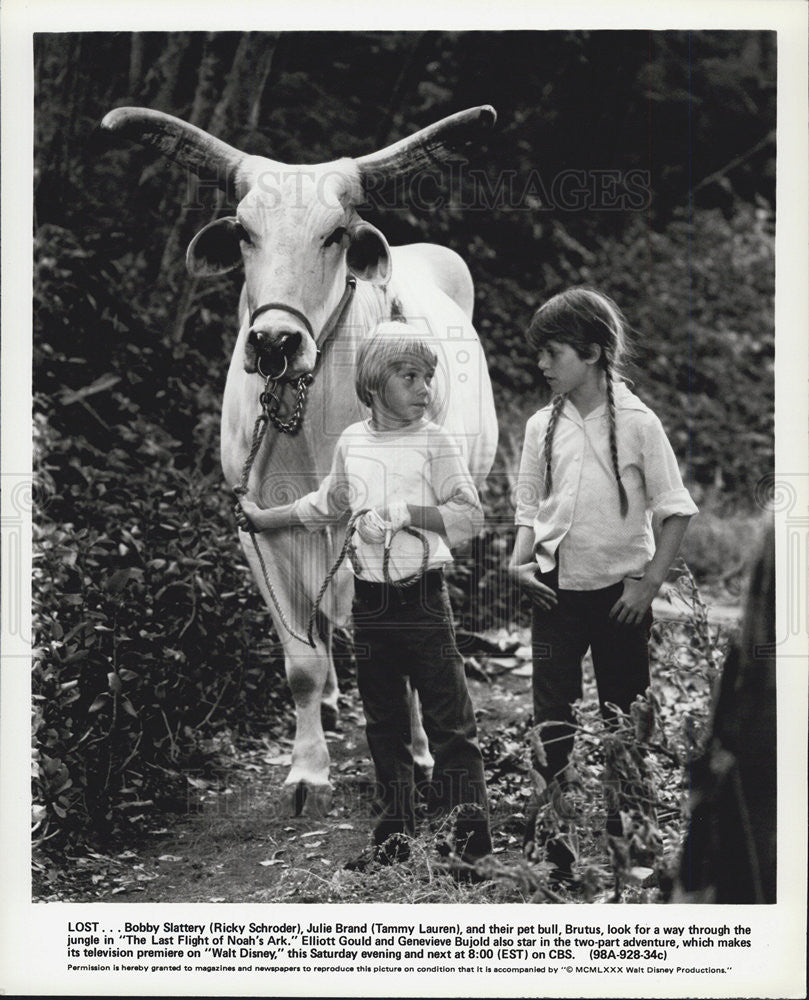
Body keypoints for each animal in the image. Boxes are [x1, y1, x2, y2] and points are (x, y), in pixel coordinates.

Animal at [98, 107, 496, 812]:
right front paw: (308, 769)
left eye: (334, 234)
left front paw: (421, 755)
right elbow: (301, 661)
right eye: (245, 233)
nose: (275, 342)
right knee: (324, 611)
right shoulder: (255, 525)